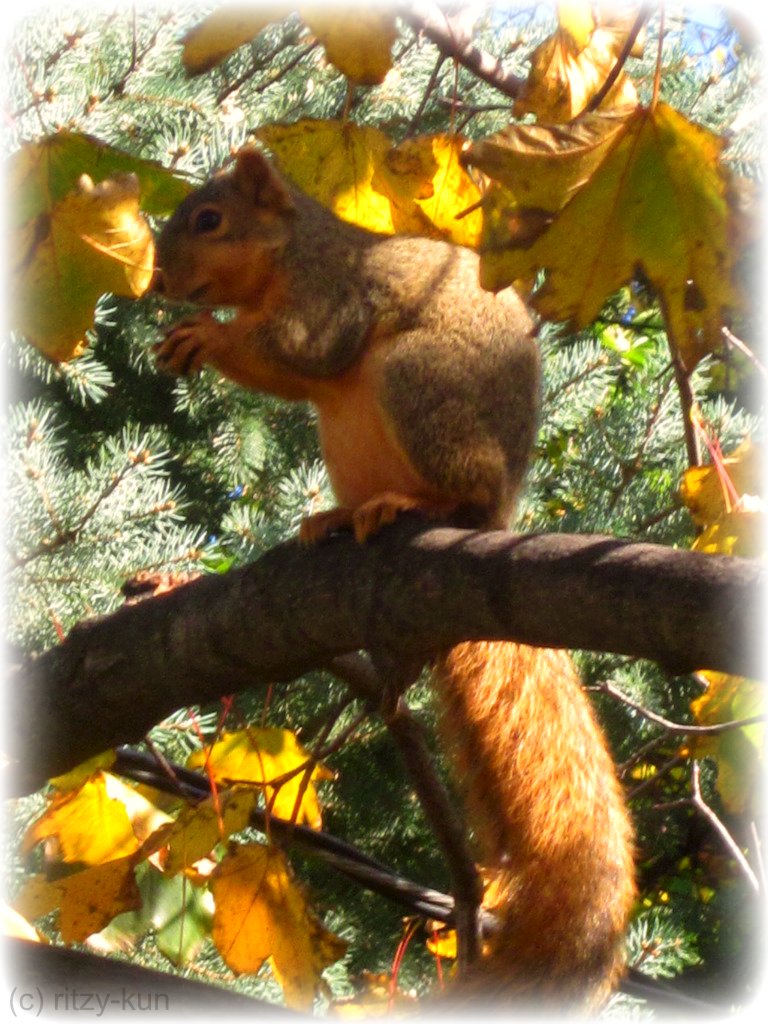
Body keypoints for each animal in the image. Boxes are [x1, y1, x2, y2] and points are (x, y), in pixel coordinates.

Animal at [150, 148, 638, 1011]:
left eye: (210, 220)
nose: (160, 279)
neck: (288, 253)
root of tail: (498, 514)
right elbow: (295, 377)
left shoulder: (328, 299)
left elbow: (305, 351)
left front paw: (209, 336)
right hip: (345, 438)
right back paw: (336, 518)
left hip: (421, 386)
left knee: (456, 485)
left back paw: (412, 503)